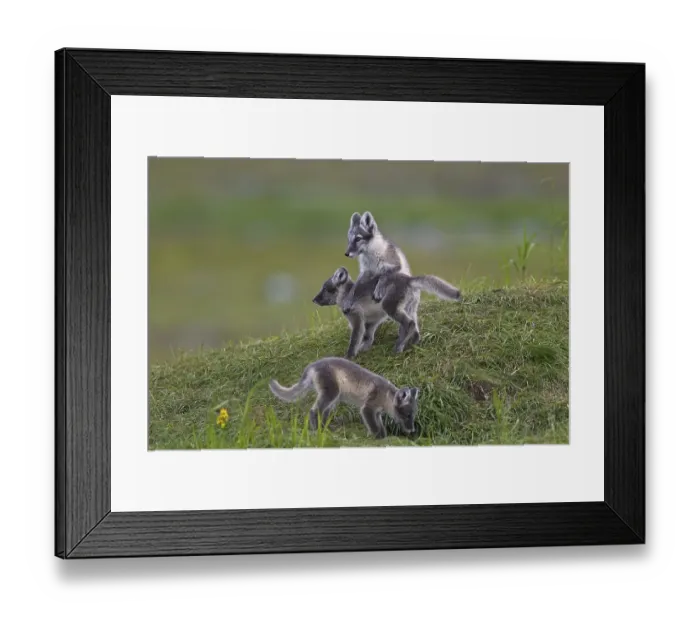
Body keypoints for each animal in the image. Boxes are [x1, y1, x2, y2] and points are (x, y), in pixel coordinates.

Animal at [269, 356, 420, 439]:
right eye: (407, 415)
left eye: (413, 415)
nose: (412, 430)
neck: (386, 396)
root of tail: (312, 365)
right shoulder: (367, 408)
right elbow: (374, 426)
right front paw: (378, 438)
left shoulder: (377, 412)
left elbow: (380, 426)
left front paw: (383, 436)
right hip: (331, 392)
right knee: (314, 410)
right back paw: (317, 430)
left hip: (332, 400)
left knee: (323, 412)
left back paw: (325, 429)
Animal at [312, 266, 461, 358]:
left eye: (325, 289)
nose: (314, 299)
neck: (346, 295)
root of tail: (408, 279)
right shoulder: (372, 321)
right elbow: (368, 336)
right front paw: (364, 348)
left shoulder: (356, 317)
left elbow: (355, 338)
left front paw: (349, 356)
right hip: (410, 307)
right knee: (414, 326)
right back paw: (412, 342)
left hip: (389, 305)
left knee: (409, 323)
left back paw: (399, 347)